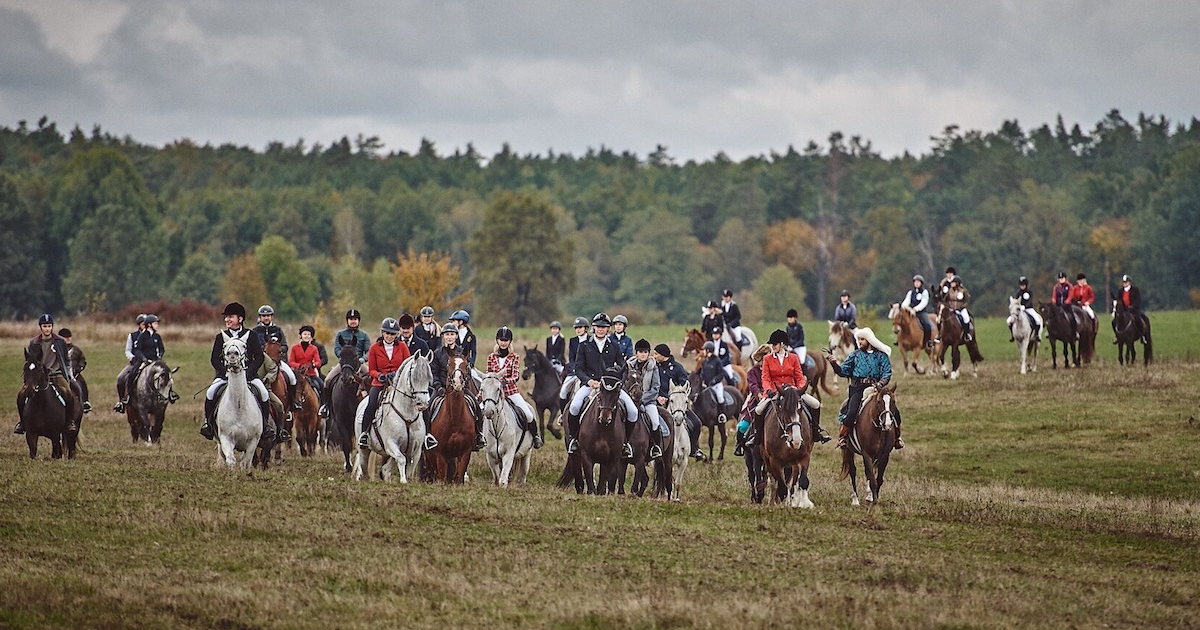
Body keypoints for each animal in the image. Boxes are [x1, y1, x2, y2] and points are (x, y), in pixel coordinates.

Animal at [214, 336, 264, 468]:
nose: (232, 354)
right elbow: (231, 460)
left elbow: (245, 463)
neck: (239, 406)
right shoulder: (226, 438)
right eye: (225, 345)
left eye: (244, 345)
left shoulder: (252, 442)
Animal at [350, 348, 432, 482]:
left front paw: (407, 480)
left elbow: (410, 468)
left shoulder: (417, 449)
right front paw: (403, 481)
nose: (422, 404)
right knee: (363, 462)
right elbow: (401, 459)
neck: (407, 413)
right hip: (363, 448)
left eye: (429, 378)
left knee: (386, 469)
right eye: (414, 377)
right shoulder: (391, 444)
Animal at [427, 352, 472, 482]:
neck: (455, 418)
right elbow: (442, 477)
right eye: (449, 364)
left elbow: (459, 478)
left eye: (466, 365)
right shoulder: (440, 454)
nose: (457, 383)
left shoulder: (465, 453)